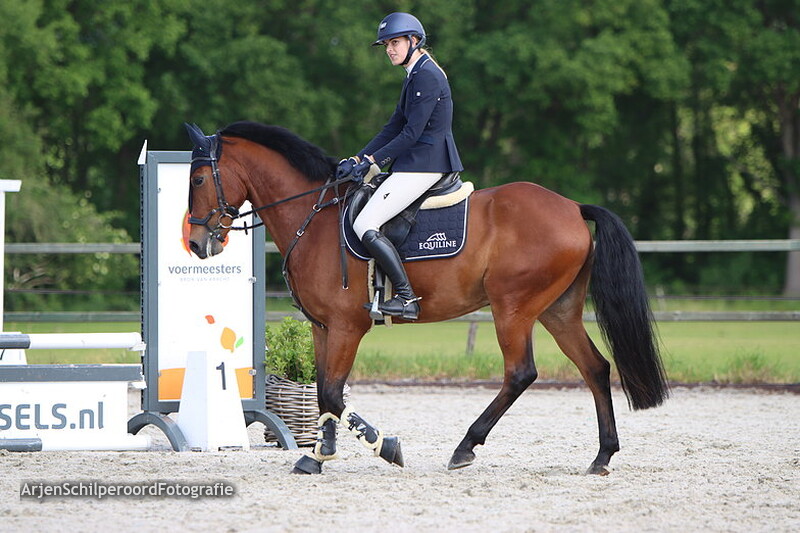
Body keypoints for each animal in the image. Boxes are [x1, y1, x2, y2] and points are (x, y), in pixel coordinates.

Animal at [184, 120, 669, 475]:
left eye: (199, 178)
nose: (196, 243)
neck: (314, 218)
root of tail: (571, 207)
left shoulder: (346, 327)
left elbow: (337, 395)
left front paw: (385, 447)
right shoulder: (321, 327)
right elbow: (323, 394)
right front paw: (317, 456)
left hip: (512, 308)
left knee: (520, 373)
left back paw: (465, 447)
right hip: (558, 310)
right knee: (595, 368)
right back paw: (602, 457)